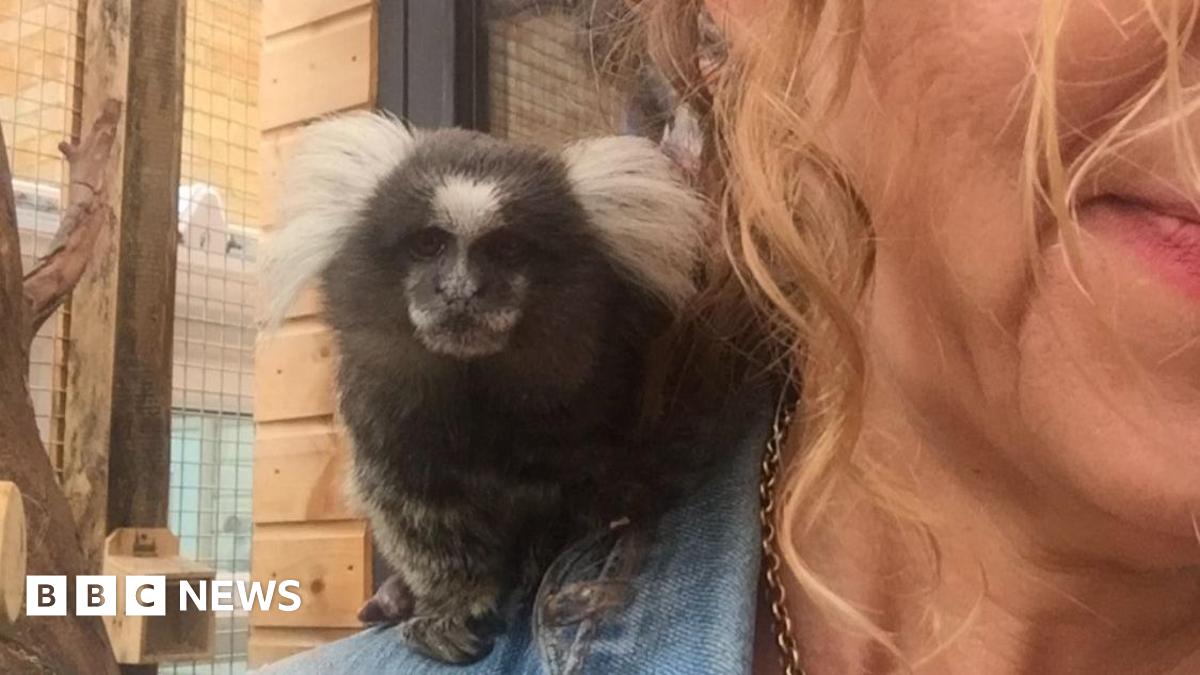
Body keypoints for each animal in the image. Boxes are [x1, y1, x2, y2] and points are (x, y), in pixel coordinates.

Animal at [260, 112, 709, 664]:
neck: (478, 389)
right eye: (429, 243)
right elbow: (415, 506)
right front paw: (453, 603)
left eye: (507, 249)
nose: (459, 292)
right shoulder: (383, 413)